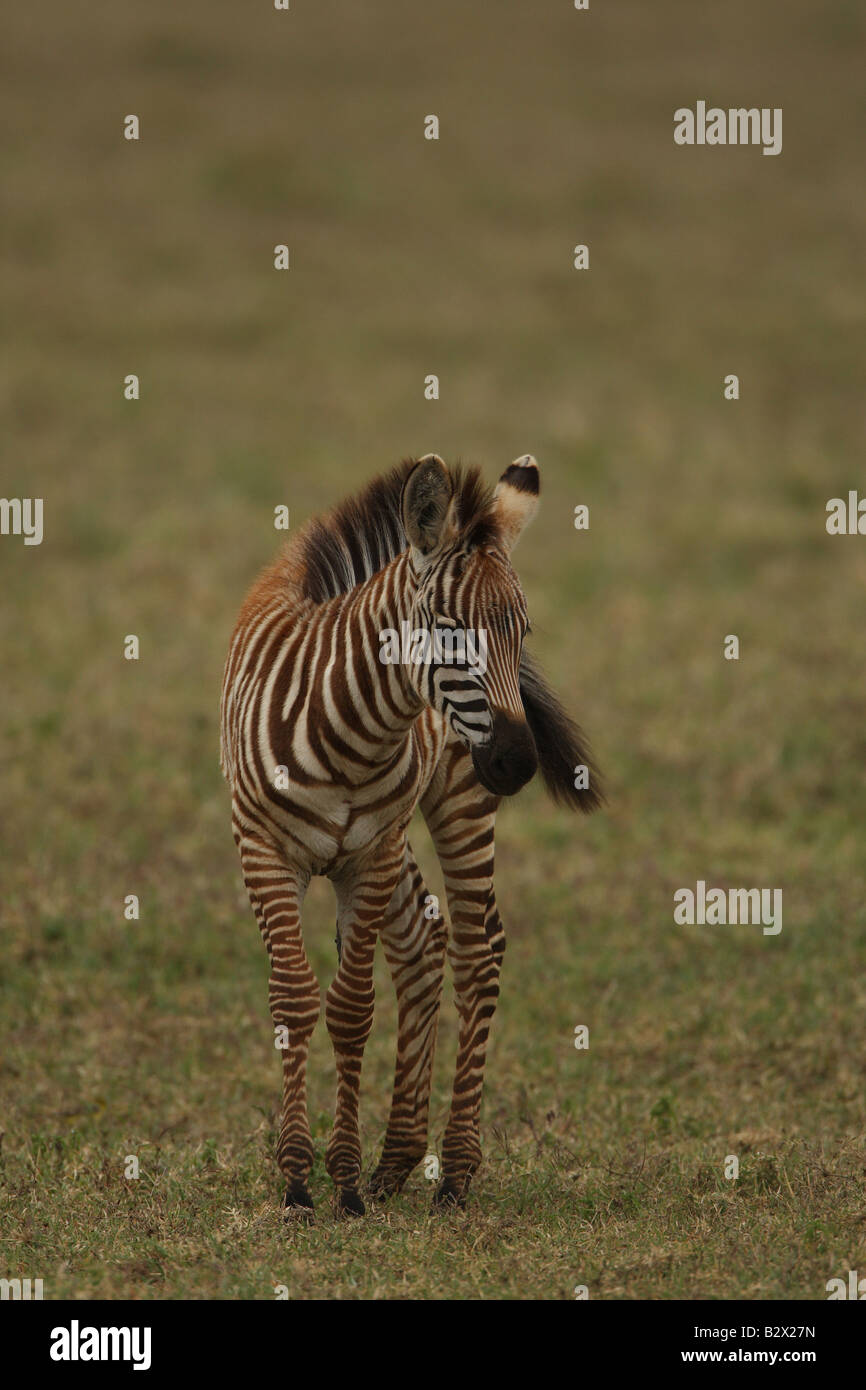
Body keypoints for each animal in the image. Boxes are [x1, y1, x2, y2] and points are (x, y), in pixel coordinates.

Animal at [220, 453, 602, 1217]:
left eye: (523, 633)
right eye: (450, 631)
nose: (516, 763)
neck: (348, 729)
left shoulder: (370, 853)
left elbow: (351, 1007)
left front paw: (339, 1179)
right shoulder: (267, 851)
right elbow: (295, 998)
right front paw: (298, 1181)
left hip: (452, 798)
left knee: (478, 950)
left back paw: (452, 1171)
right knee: (424, 944)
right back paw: (396, 1160)